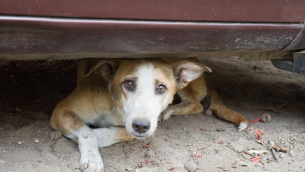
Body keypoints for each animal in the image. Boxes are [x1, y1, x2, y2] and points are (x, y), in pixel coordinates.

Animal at [48, 57, 246, 171]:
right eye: (128, 83)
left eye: (161, 88)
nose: (141, 126)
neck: (116, 107)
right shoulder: (61, 110)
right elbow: (86, 130)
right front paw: (91, 156)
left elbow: (124, 133)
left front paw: (99, 137)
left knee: (196, 104)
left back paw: (169, 110)